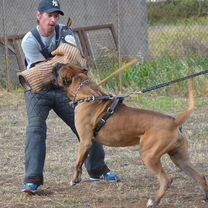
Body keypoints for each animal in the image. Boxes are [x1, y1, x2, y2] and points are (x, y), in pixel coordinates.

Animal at [52, 63, 208, 208]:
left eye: (60, 68)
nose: (55, 63)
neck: (88, 95)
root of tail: (174, 122)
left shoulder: (85, 141)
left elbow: (78, 163)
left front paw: (75, 179)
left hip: (149, 156)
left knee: (166, 179)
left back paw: (154, 200)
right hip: (179, 158)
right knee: (200, 176)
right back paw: (205, 197)